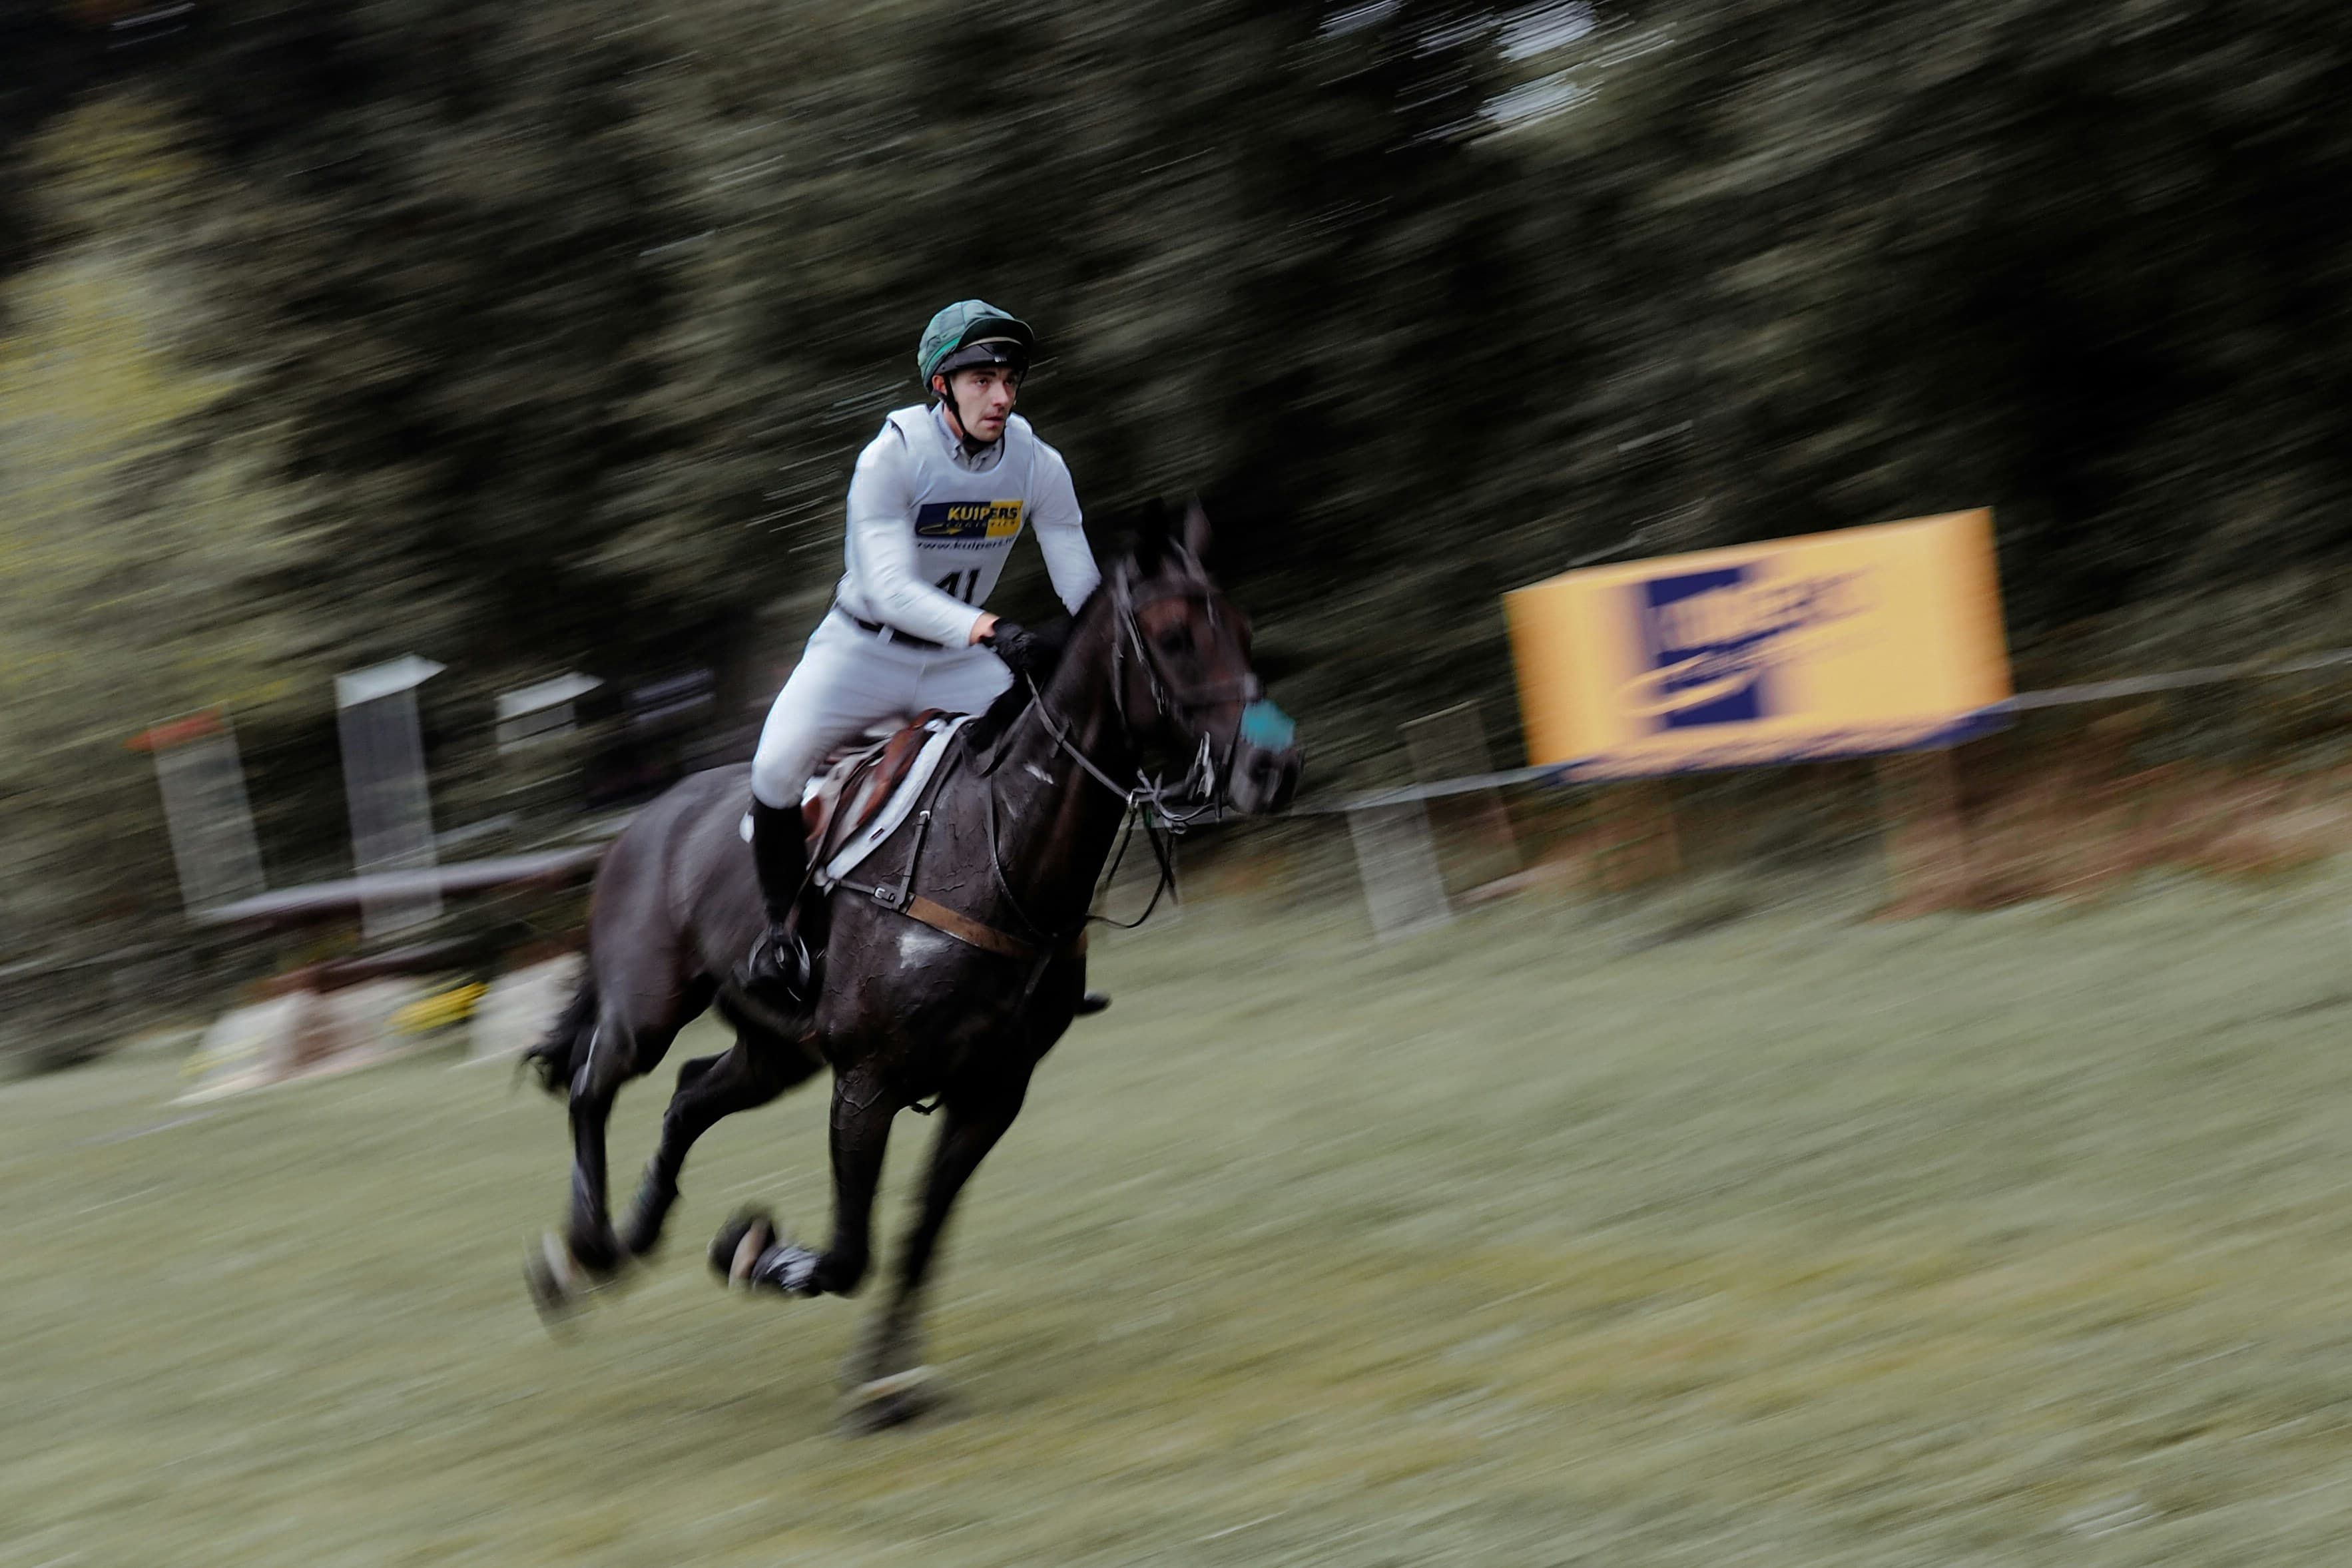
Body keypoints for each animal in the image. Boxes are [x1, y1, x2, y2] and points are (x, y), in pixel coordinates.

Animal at [519, 501, 1300, 1429]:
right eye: (1176, 638)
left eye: (1243, 631)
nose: (1273, 769)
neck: (998, 850)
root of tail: (639, 823)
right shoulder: (868, 1082)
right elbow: (850, 1250)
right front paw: (761, 1254)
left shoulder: (990, 1094)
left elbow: (919, 1236)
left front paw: (884, 1383)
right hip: (649, 1008)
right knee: (595, 1082)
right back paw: (582, 1250)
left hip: (778, 1050)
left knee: (686, 1095)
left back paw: (631, 1238)